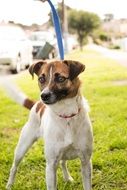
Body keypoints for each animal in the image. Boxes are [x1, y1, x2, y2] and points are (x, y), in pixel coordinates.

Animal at [5, 59, 93, 190]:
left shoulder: (86, 161)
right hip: (21, 148)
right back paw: (9, 185)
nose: (44, 96)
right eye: (41, 79)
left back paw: (67, 178)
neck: (66, 116)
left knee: (63, 162)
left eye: (60, 78)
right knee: (14, 167)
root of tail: (37, 104)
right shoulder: (51, 166)